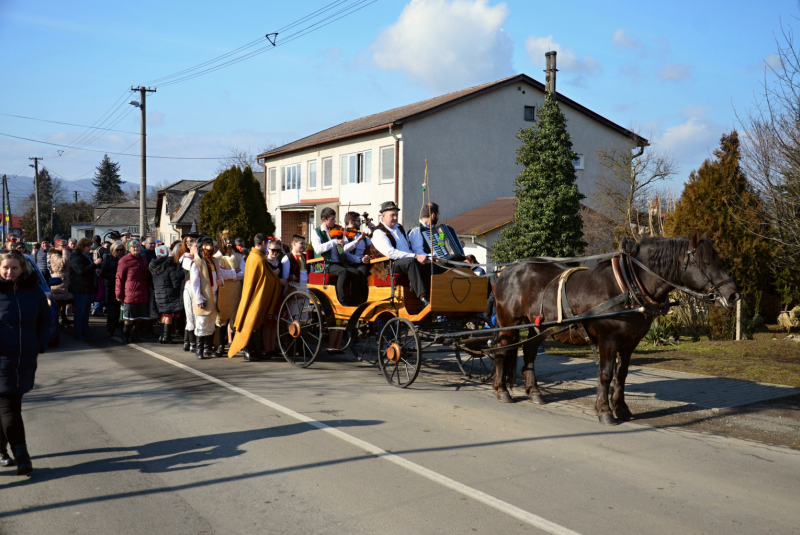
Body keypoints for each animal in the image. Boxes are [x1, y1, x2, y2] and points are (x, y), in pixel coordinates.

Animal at [496, 232, 740, 426]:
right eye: (704, 263)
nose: (733, 295)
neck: (627, 285)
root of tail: (508, 270)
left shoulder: (630, 342)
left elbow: (621, 375)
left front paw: (621, 409)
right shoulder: (608, 340)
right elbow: (605, 374)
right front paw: (605, 411)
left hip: (538, 327)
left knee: (529, 352)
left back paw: (534, 392)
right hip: (508, 322)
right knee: (501, 351)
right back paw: (502, 391)